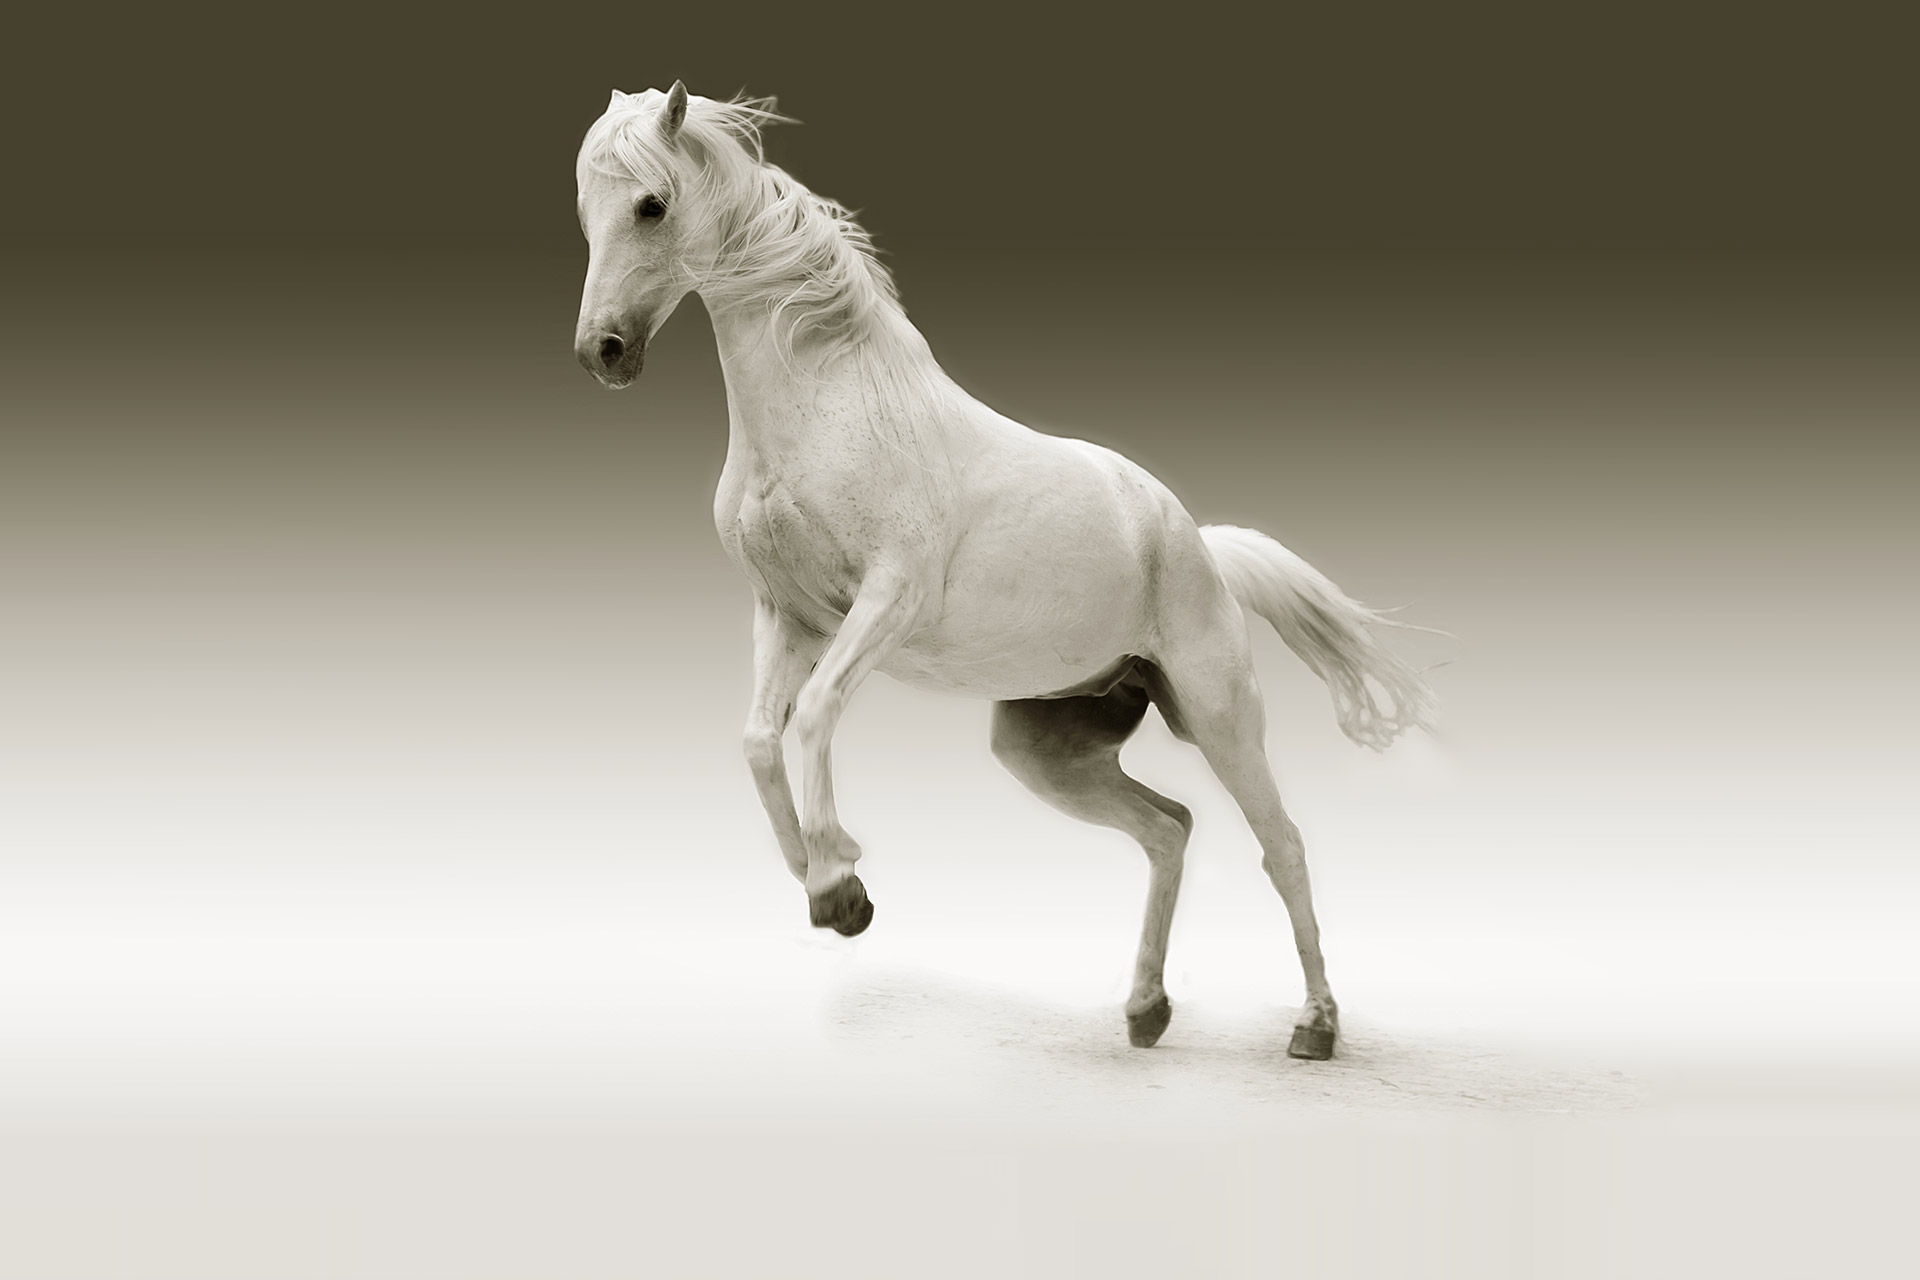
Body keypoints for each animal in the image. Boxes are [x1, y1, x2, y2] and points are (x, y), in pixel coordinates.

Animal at [572, 83, 1435, 1058]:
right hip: (1046, 747)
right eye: (586, 212)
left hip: (1218, 714)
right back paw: (1145, 1010)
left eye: (651, 205)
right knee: (1168, 829)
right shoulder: (785, 615)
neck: (828, 408)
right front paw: (830, 884)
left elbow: (815, 714)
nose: (603, 352)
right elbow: (758, 740)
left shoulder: (887, 601)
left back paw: (1315, 1027)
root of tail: (1197, 543)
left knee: (1280, 843)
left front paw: (838, 884)